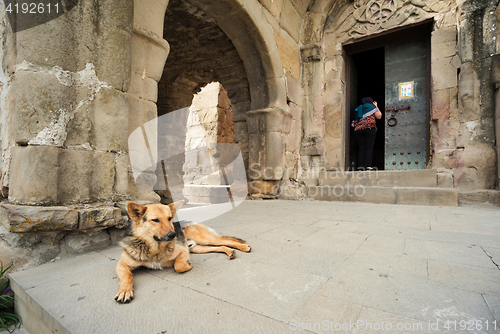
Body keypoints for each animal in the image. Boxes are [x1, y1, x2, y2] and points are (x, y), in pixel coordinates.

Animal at [115, 201, 252, 302]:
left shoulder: (182, 252)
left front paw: (188, 265)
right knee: (221, 246)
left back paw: (244, 247)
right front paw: (125, 291)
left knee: (226, 241)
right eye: (155, 220)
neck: (154, 248)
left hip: (205, 239)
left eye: (169, 218)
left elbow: (178, 266)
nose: (173, 234)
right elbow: (127, 276)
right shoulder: (121, 264)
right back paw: (230, 252)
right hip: (198, 248)